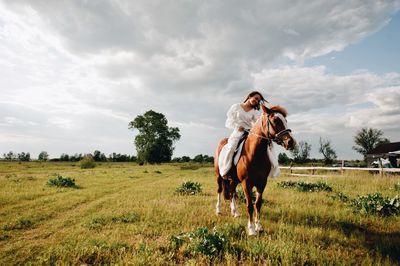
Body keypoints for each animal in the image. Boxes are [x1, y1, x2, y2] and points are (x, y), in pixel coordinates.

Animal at [214, 103, 296, 235]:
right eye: (275, 120)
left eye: (285, 120)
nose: (290, 142)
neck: (254, 153)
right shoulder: (246, 183)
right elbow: (249, 205)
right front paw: (251, 229)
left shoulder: (262, 183)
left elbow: (258, 204)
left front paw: (259, 226)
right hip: (219, 176)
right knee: (220, 191)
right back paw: (218, 210)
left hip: (234, 180)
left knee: (231, 192)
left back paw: (235, 212)